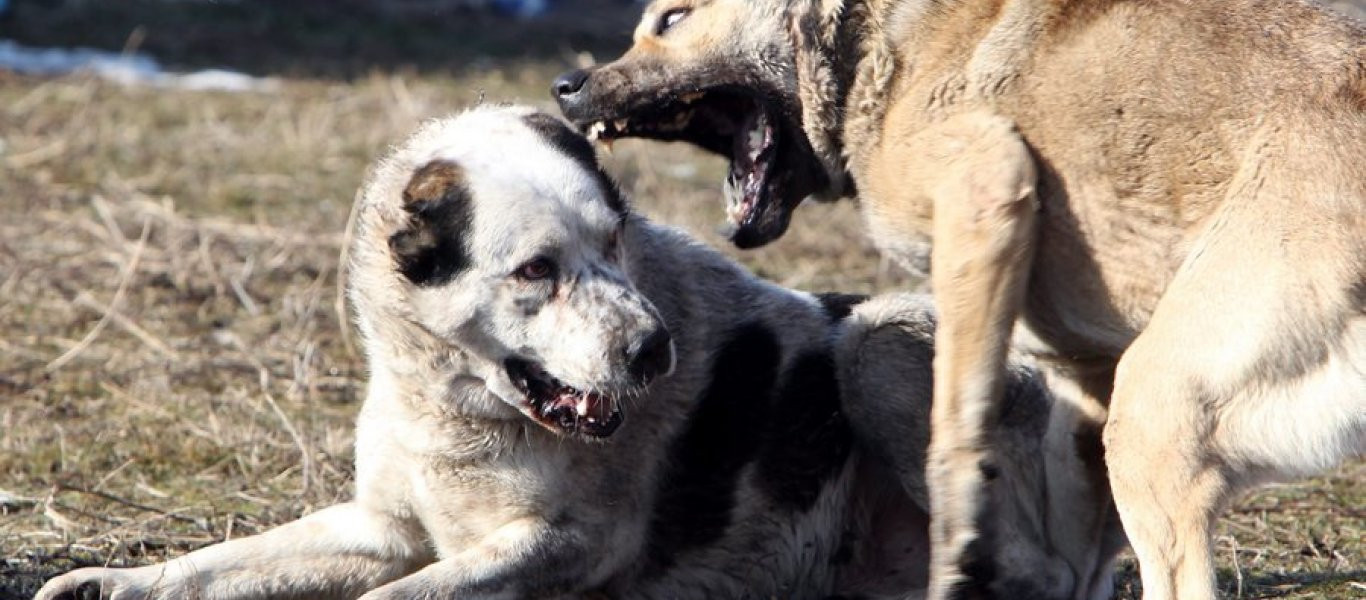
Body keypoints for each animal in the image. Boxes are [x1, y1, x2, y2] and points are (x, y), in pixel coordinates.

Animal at [34, 107, 1109, 600]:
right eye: (536, 270)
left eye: (616, 240)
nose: (656, 352)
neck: (455, 404)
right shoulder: (381, 524)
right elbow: (221, 561)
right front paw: (113, 582)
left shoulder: (567, 541)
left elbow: (397, 596)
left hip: (878, 339)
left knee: (1038, 575)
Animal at [551, 2, 1366, 598]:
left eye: (672, 17)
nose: (565, 86)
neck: (869, 45)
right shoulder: (1083, 375)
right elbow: (1073, 525)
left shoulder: (984, 189)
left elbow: (953, 432)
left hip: (1158, 409)